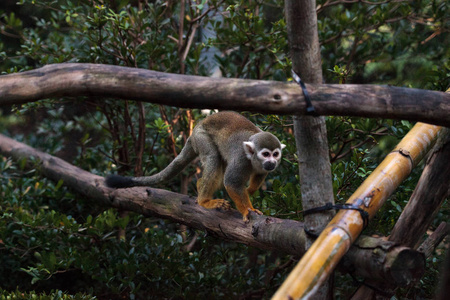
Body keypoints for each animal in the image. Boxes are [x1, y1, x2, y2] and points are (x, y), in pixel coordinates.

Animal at [106, 111, 284, 221]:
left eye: (275, 154)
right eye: (265, 154)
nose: (272, 162)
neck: (253, 160)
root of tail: (195, 130)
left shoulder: (261, 168)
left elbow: (259, 176)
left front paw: (249, 191)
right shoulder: (240, 159)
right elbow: (231, 183)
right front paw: (247, 210)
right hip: (201, 137)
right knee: (213, 158)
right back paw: (204, 200)